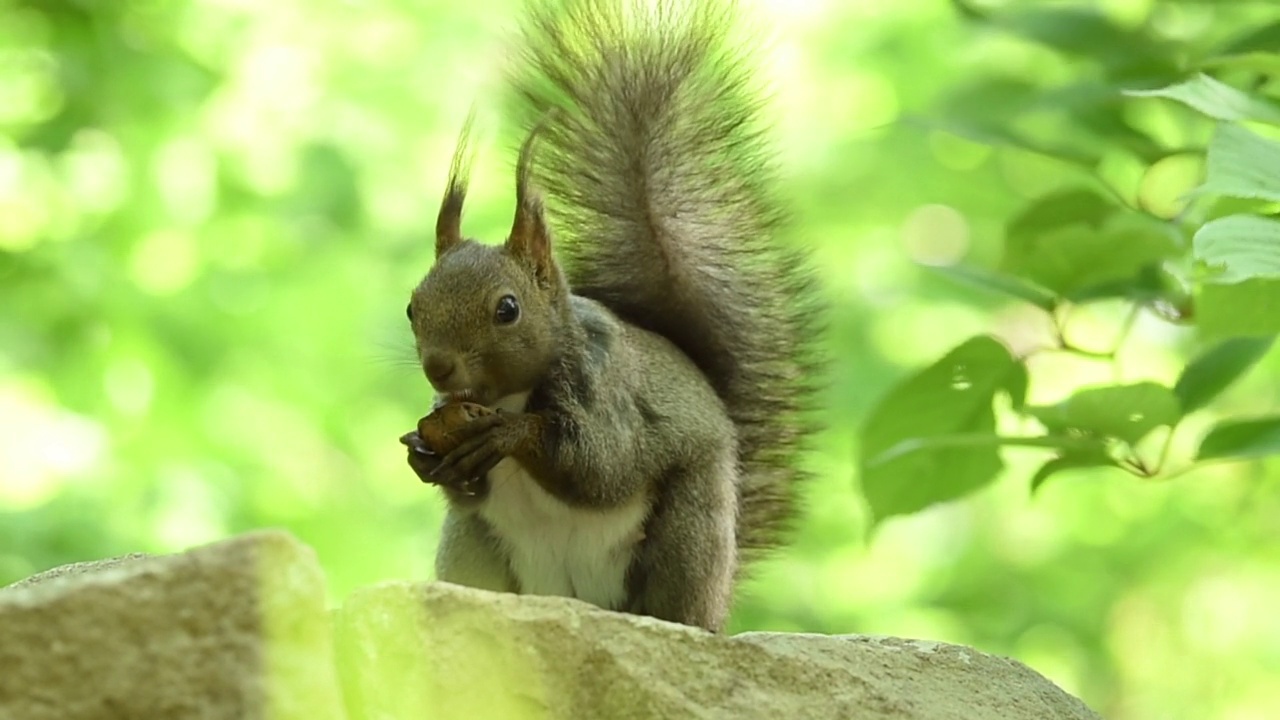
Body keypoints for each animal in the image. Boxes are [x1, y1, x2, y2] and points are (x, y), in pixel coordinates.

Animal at [394, 0, 824, 627]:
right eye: (411, 307)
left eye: (507, 308)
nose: (438, 367)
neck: (507, 393)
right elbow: (465, 486)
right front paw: (422, 452)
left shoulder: (606, 395)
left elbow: (600, 468)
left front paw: (511, 433)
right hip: (474, 548)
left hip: (687, 534)